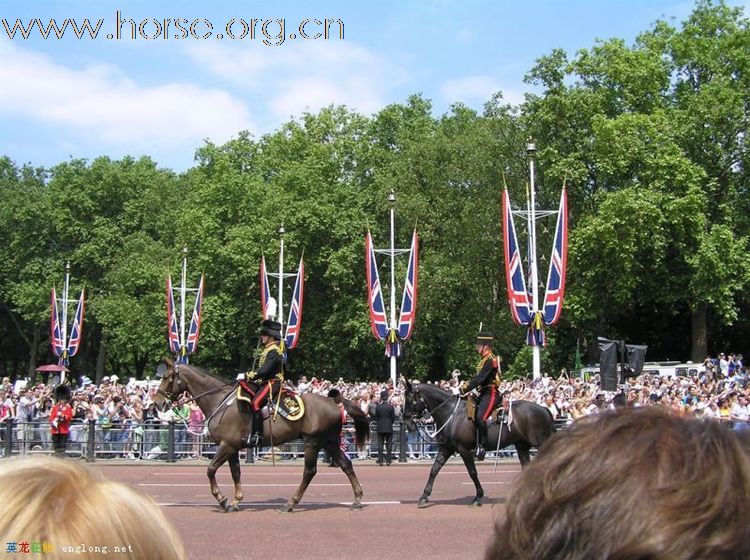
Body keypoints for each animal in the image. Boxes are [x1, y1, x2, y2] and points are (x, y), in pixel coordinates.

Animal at [156, 364, 370, 512]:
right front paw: (235, 500)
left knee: (309, 471)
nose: (157, 403)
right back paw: (357, 499)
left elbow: (210, 470)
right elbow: (235, 473)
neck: (221, 401)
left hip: (312, 442)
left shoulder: (227, 445)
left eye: (168, 377)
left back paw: (291, 503)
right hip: (329, 442)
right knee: (346, 465)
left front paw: (222, 500)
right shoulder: (233, 447)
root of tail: (333, 401)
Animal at [402, 380, 556, 508]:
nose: (407, 423)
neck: (451, 414)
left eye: (409, 399)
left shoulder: (463, 449)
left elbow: (472, 472)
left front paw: (478, 497)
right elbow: (434, 470)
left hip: (541, 443)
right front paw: (424, 496)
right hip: (522, 446)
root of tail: (544, 409)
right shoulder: (446, 449)